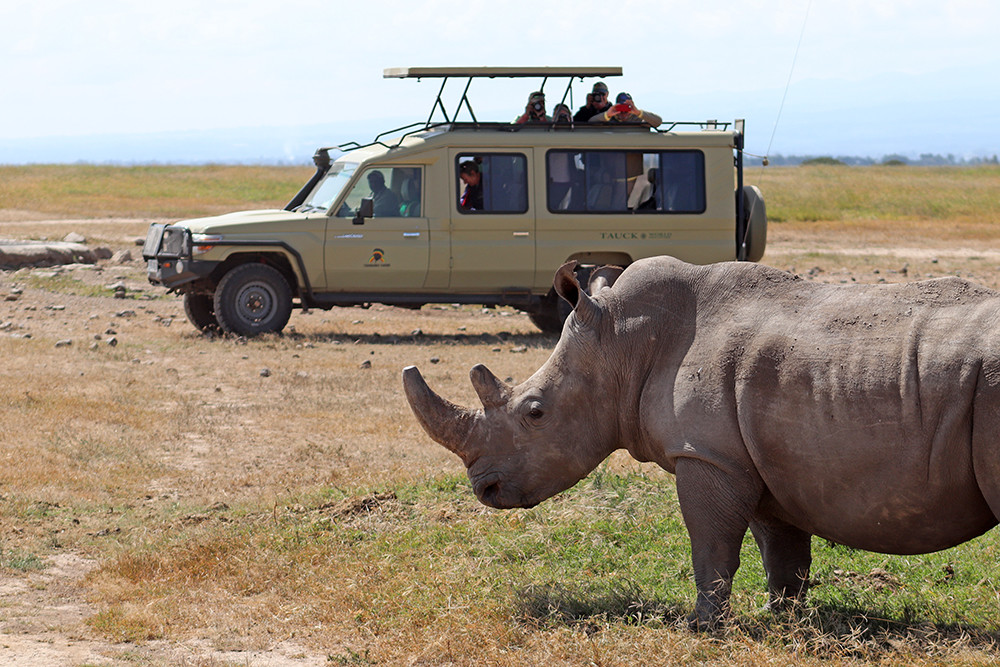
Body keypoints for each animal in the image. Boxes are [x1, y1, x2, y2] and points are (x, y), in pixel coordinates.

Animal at [402, 256, 1000, 628]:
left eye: (535, 412)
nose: (485, 489)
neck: (622, 344)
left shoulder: (706, 455)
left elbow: (710, 546)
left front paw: (702, 626)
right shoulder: (754, 459)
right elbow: (781, 550)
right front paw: (781, 618)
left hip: (990, 383)